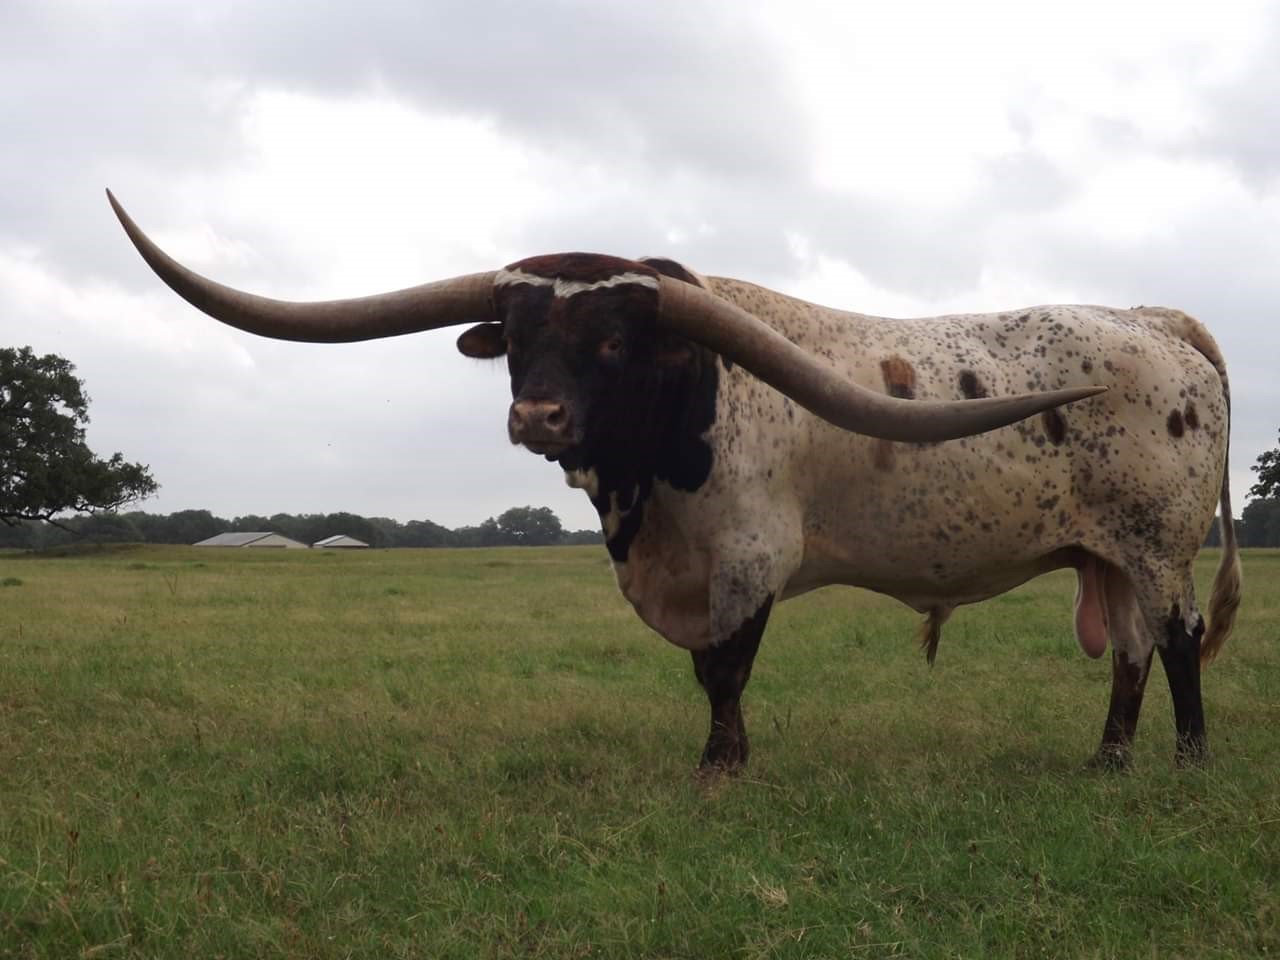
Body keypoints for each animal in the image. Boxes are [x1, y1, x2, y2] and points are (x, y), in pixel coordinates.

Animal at [108, 190, 1240, 773]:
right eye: (518, 336)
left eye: (612, 341)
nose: (536, 417)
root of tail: (1154, 322)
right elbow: (704, 670)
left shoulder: (747, 559)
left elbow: (723, 671)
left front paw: (720, 767)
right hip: (1106, 553)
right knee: (1129, 651)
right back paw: (1108, 759)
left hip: (1156, 545)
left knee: (1177, 639)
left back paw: (1186, 759)